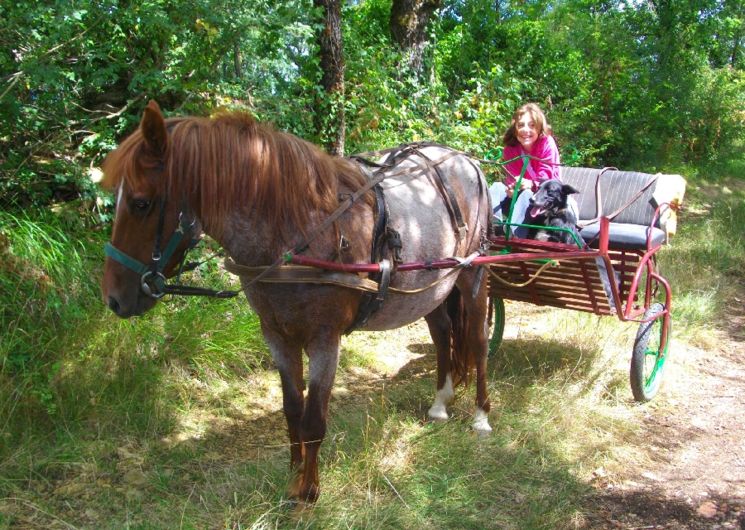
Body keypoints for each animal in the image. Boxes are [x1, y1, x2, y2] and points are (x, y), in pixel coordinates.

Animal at [100, 99, 494, 500]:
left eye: (141, 203)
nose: (113, 298)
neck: (297, 235)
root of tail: (466, 160)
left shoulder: (324, 340)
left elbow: (314, 420)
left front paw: (309, 491)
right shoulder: (276, 334)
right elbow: (292, 409)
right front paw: (293, 475)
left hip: (472, 276)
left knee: (478, 341)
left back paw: (481, 415)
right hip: (433, 290)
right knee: (443, 334)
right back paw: (440, 402)